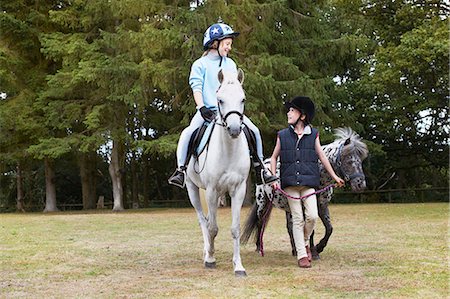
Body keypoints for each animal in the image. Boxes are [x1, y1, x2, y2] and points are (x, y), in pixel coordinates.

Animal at [185, 69, 251, 278]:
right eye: (220, 100)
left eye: (242, 99)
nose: (234, 129)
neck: (228, 150)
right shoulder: (212, 190)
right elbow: (212, 228)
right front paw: (211, 258)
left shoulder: (238, 190)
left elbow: (235, 228)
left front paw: (238, 266)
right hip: (192, 189)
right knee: (203, 221)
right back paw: (207, 252)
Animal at [241, 126, 368, 260]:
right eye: (349, 161)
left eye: (361, 161)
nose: (361, 184)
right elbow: (311, 230)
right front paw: (314, 252)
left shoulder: (322, 206)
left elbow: (329, 228)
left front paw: (319, 247)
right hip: (262, 203)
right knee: (260, 223)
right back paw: (259, 248)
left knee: (289, 227)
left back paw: (294, 250)